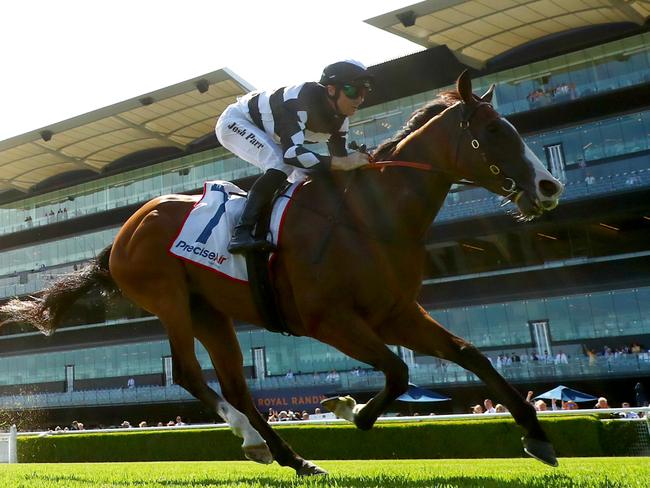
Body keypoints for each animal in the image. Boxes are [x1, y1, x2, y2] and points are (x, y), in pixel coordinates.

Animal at [1, 71, 560, 472]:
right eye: (493, 131)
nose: (549, 186)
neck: (368, 219)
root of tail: (125, 230)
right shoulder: (328, 320)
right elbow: (398, 371)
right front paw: (349, 408)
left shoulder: (395, 313)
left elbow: (469, 355)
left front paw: (537, 436)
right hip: (169, 299)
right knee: (189, 373)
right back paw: (253, 440)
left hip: (210, 311)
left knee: (237, 387)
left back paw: (291, 457)